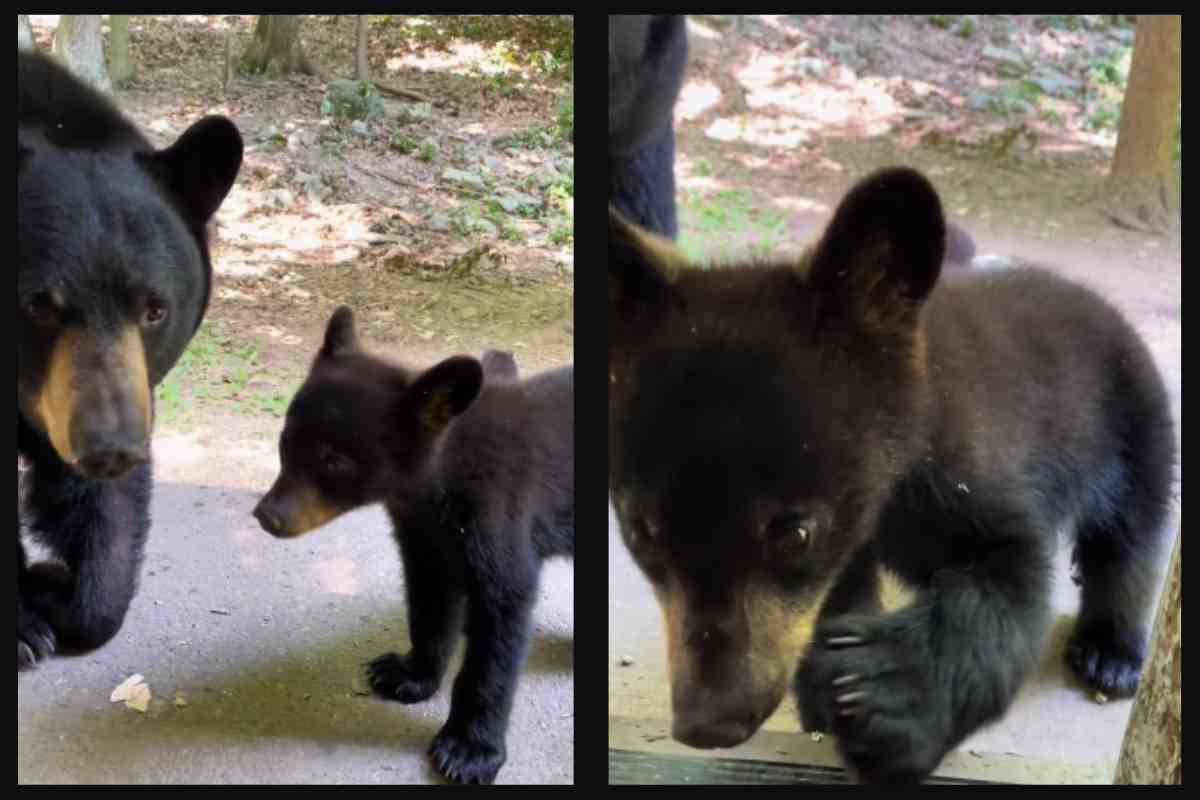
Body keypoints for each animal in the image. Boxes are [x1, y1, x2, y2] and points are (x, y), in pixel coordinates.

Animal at [17, 53, 243, 671]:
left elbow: (103, 513)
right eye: (37, 305)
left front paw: (57, 587)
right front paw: (21, 627)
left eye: (154, 310)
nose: (109, 446)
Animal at [252, 309, 571, 786]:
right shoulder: (423, 535)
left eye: (334, 459)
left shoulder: (499, 514)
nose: (267, 516)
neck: (437, 482)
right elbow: (429, 603)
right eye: (285, 438)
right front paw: (407, 672)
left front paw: (469, 750)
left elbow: (499, 628)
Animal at [609, 165, 1171, 786]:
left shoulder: (971, 470)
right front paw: (824, 690)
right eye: (640, 534)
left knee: (1132, 534)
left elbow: (1008, 580)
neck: (888, 489)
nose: (708, 723)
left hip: (1133, 424)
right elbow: (836, 593)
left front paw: (885, 701)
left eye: (795, 534)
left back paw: (1110, 653)